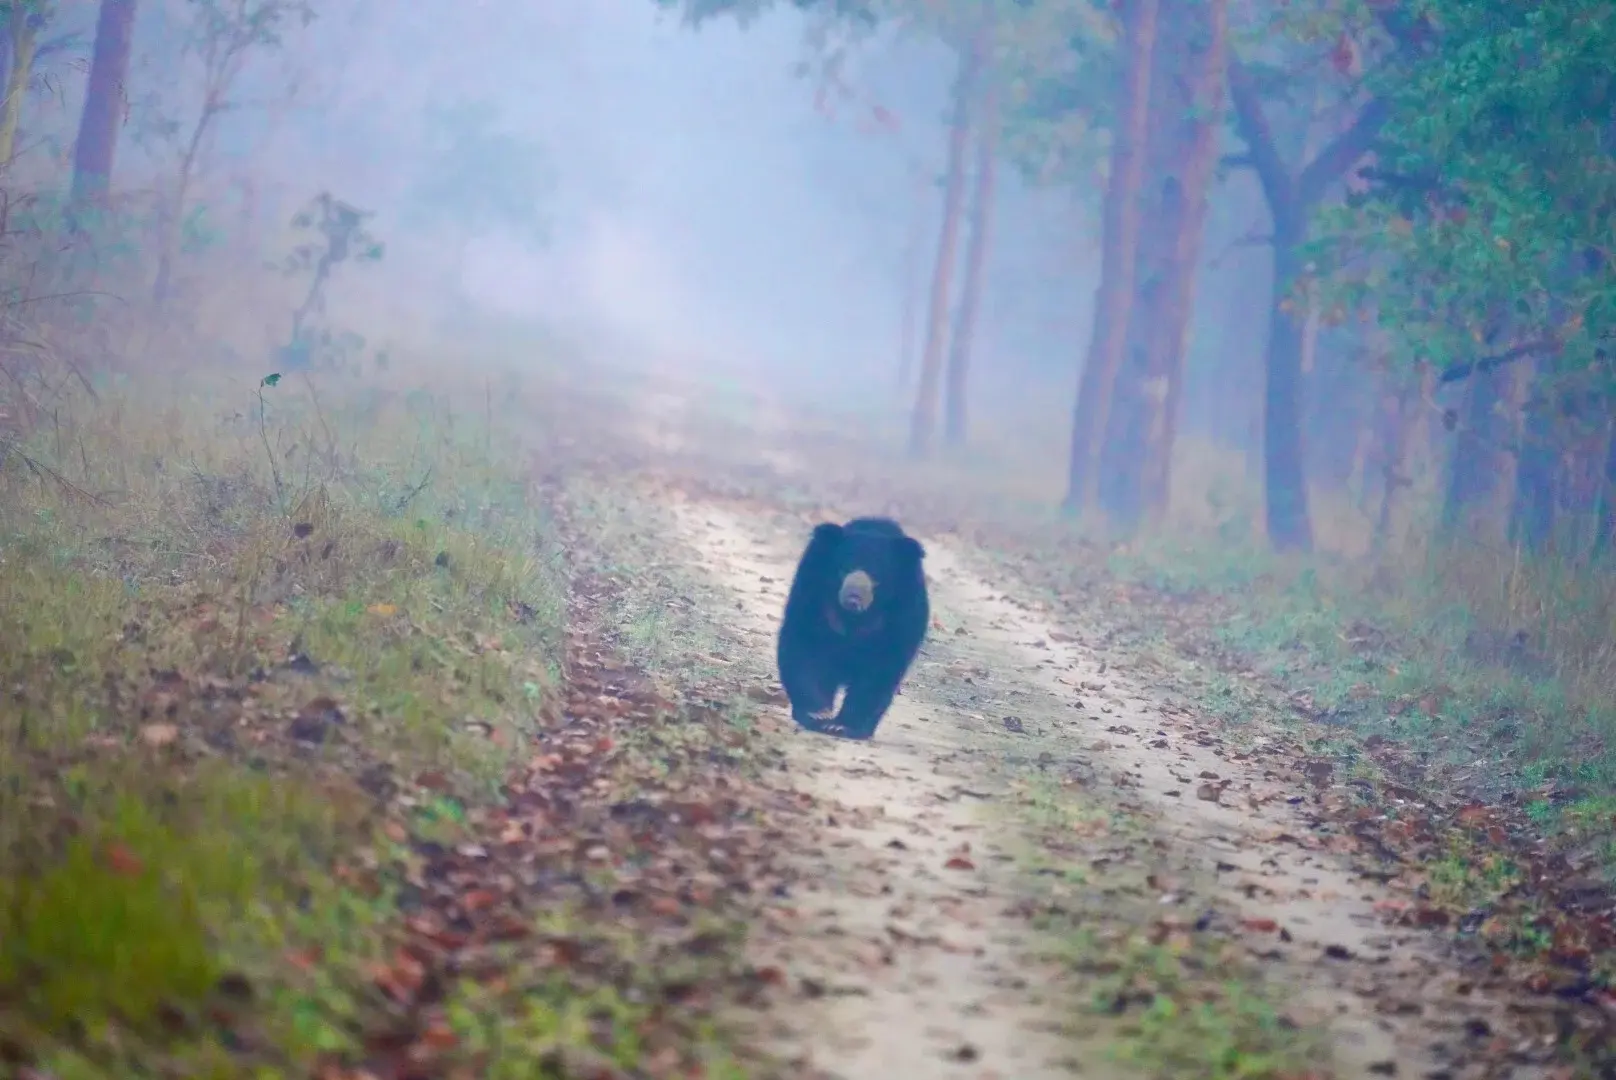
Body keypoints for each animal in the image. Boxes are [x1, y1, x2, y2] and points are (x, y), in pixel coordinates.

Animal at [775, 516, 930, 741]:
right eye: (844, 569)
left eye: (876, 576)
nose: (853, 598)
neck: (855, 617)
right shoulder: (812, 588)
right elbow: (803, 644)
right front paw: (818, 714)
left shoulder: (904, 609)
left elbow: (883, 666)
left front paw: (842, 726)